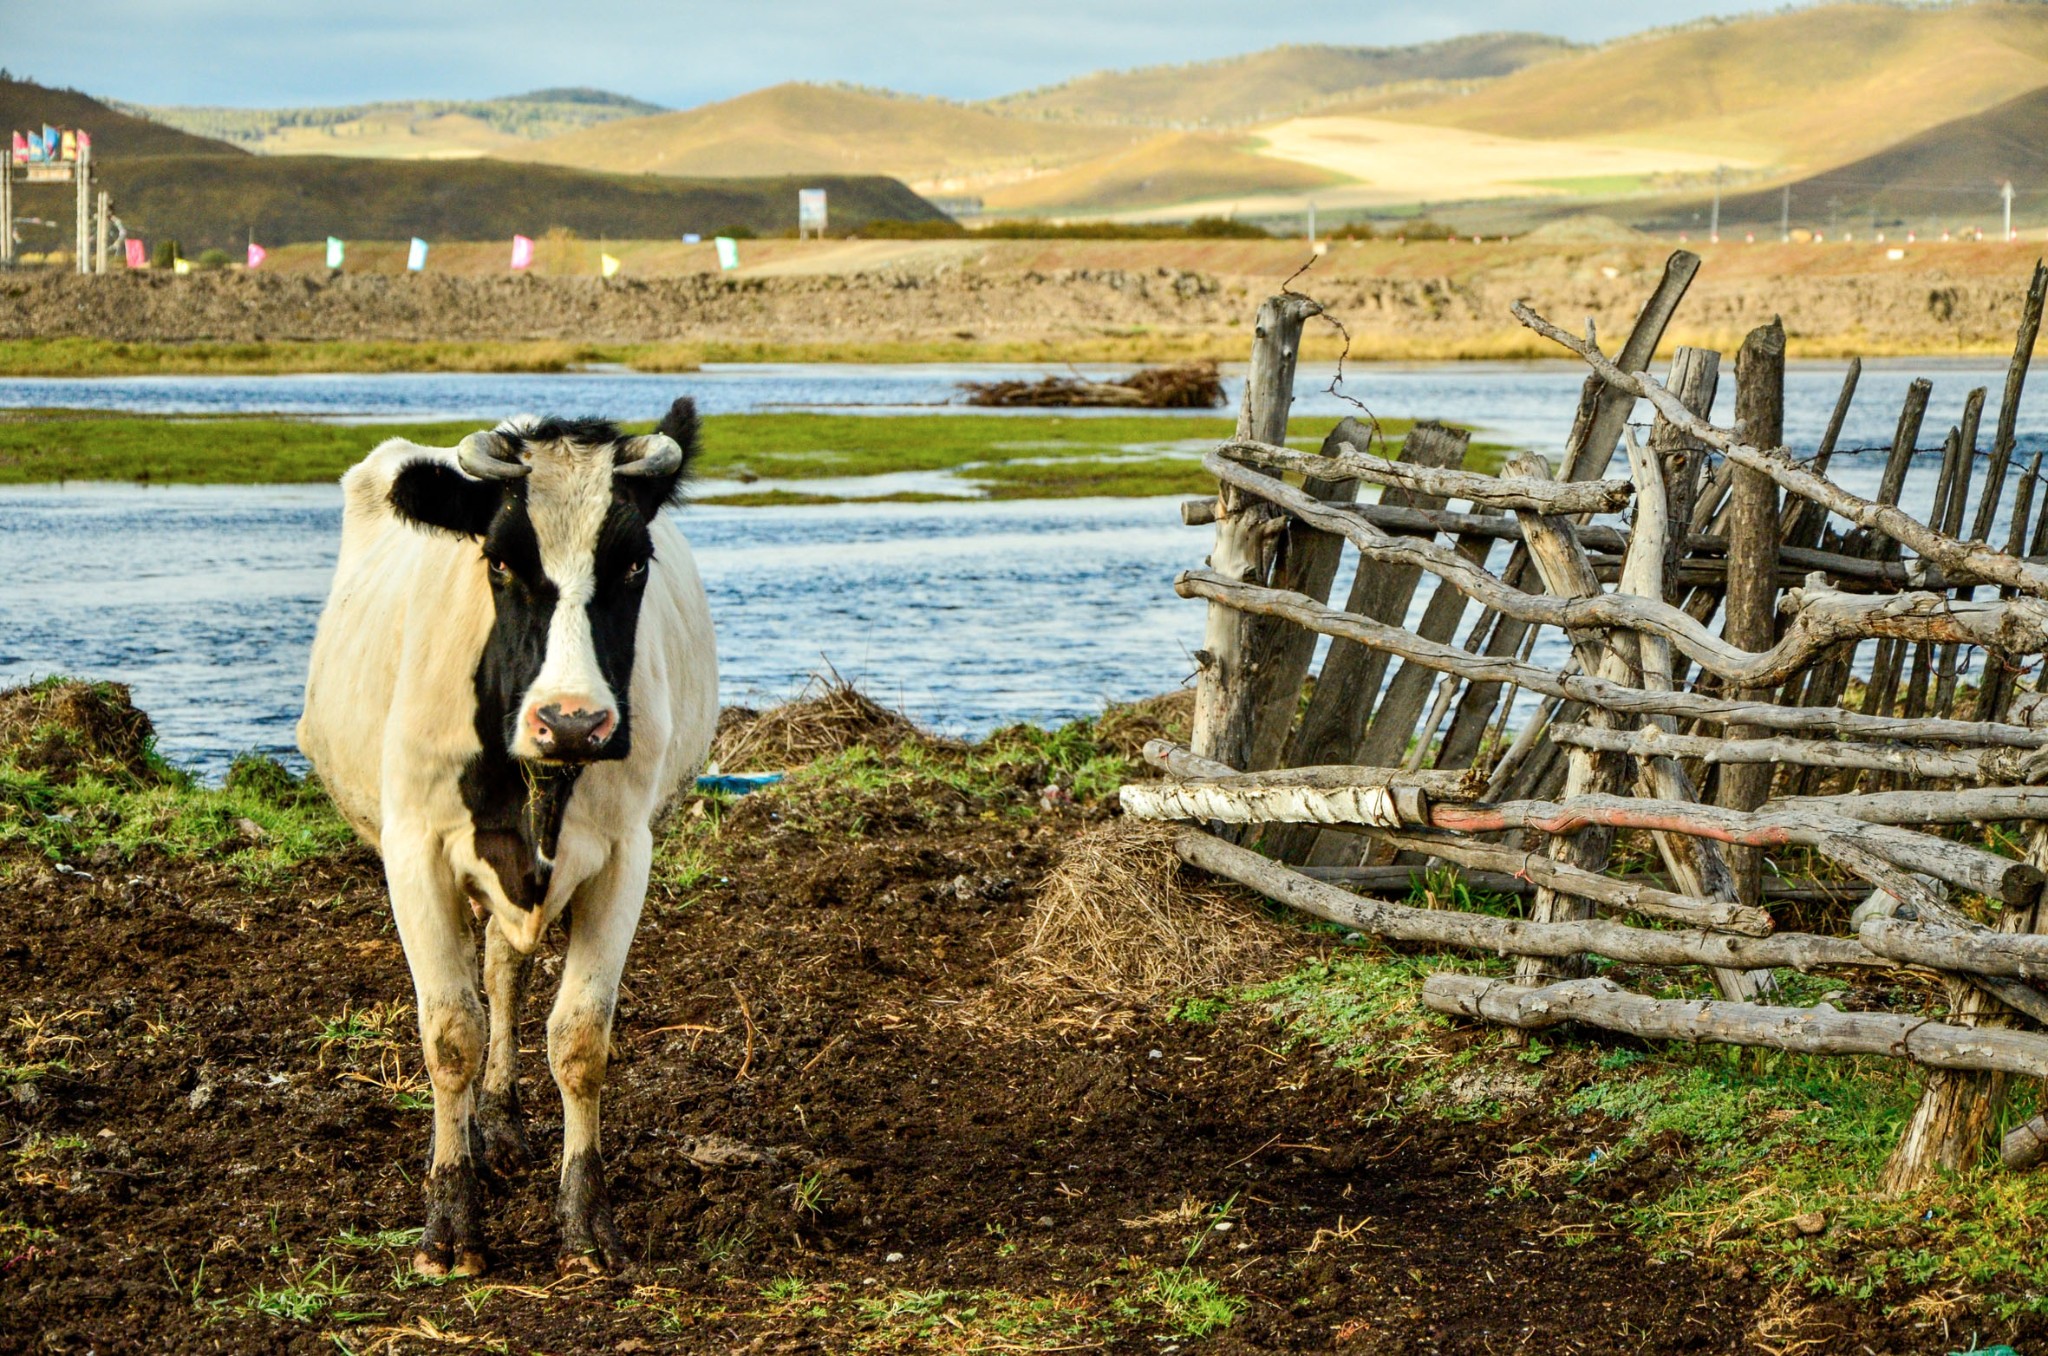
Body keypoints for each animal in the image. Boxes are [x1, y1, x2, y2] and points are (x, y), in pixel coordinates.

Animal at [296, 399, 720, 1278]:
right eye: (499, 562)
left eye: (634, 564)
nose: (574, 721)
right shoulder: (414, 851)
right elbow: (449, 1033)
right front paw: (451, 1222)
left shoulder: (625, 857)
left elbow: (580, 1038)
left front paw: (586, 1220)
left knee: (503, 969)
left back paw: (499, 1115)